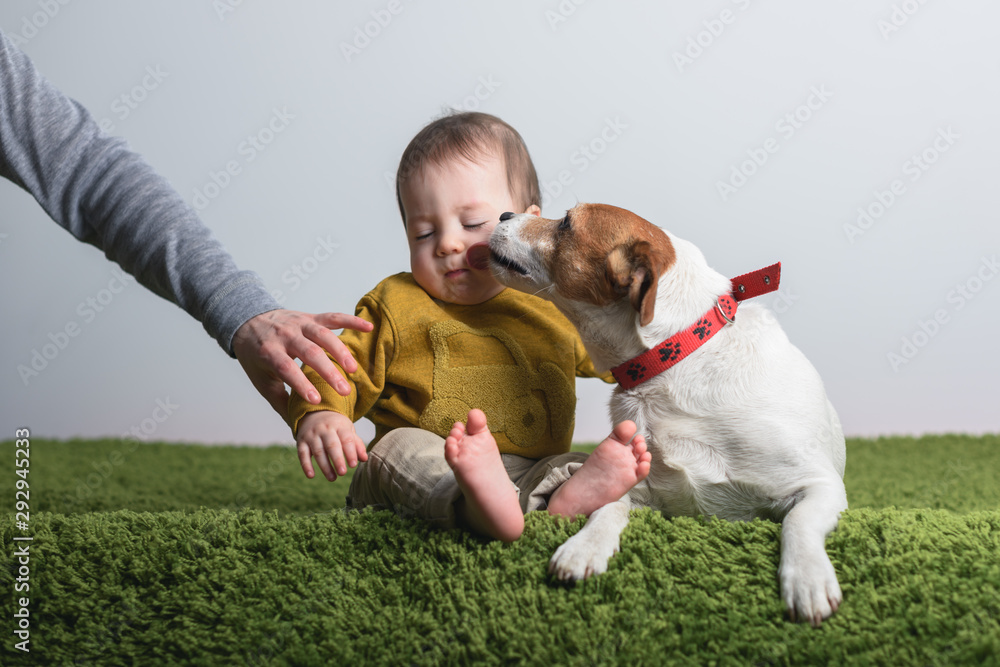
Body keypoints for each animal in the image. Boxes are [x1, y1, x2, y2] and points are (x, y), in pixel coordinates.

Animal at [480, 202, 848, 628]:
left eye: (567, 223)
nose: (504, 214)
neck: (674, 357)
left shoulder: (821, 485)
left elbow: (797, 521)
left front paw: (807, 577)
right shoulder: (645, 491)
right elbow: (606, 506)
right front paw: (584, 546)